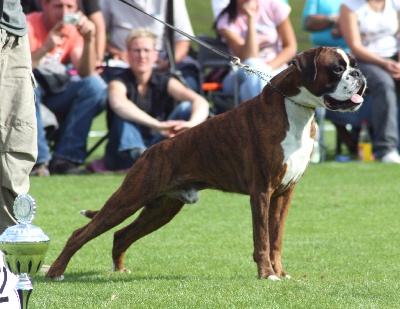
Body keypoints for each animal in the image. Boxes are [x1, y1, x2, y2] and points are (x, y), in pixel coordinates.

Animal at [46, 47, 366, 280]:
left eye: (352, 64)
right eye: (337, 69)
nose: (359, 73)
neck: (294, 109)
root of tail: (151, 150)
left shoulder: (284, 193)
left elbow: (276, 239)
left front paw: (281, 272)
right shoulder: (261, 191)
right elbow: (262, 238)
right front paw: (267, 275)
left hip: (161, 209)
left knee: (121, 234)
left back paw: (120, 270)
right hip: (129, 198)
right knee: (81, 234)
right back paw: (55, 272)